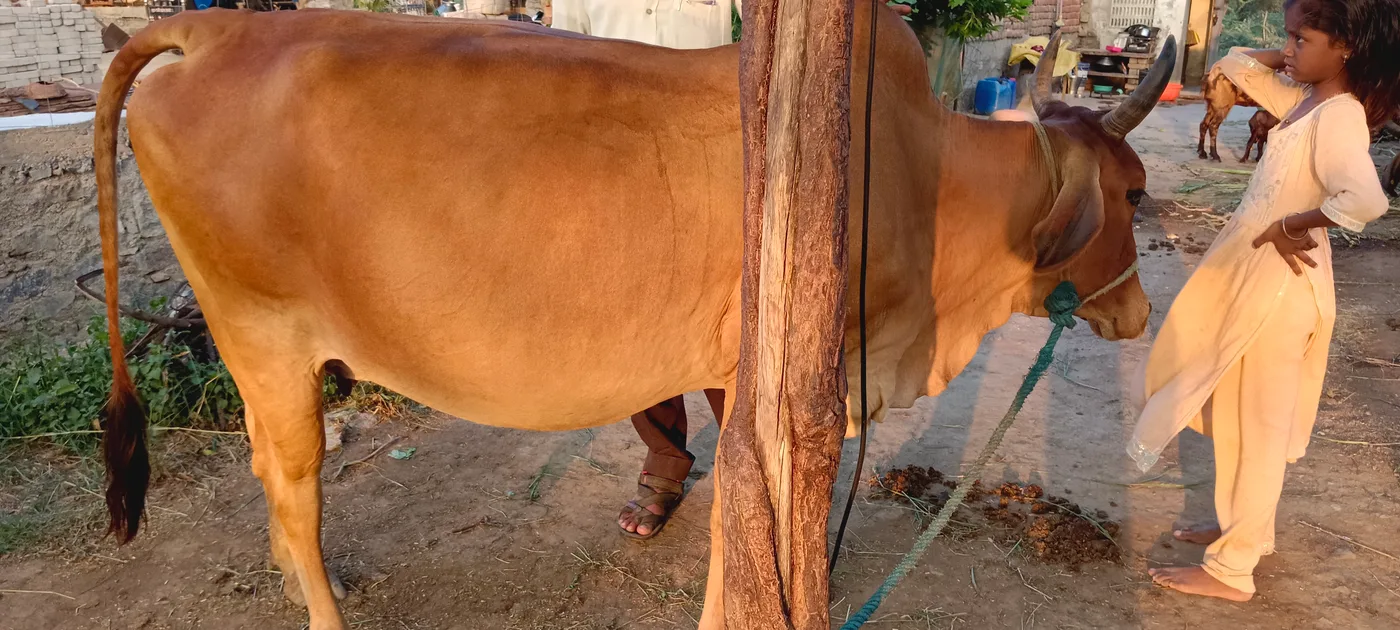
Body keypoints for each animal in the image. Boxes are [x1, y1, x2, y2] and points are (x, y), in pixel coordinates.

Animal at [93, 5, 1171, 628]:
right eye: (1133, 191)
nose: (1138, 311)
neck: (926, 177)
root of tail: (214, 30)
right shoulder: (781, 379)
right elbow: (750, 517)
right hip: (265, 331)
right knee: (293, 482)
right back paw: (320, 608)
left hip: (255, 347)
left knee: (266, 471)